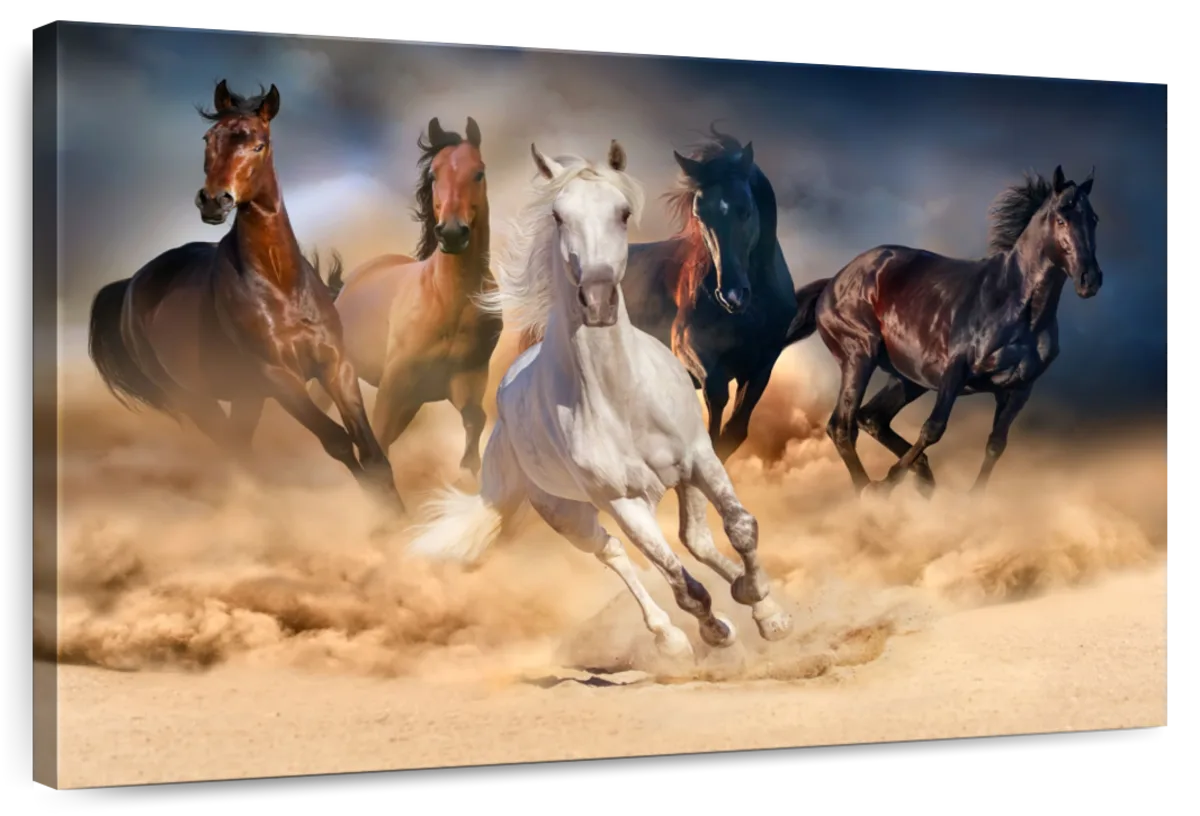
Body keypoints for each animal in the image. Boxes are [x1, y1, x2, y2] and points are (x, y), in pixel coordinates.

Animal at [86, 80, 404, 513]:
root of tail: (131, 283)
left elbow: (371, 452)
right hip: (195, 399)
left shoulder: (335, 365)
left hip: (245, 397)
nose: (213, 200)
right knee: (234, 450)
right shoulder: (278, 377)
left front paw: (399, 517)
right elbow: (337, 441)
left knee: (239, 445)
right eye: (208, 138)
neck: (281, 285)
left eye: (259, 144)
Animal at [309, 117, 501, 478]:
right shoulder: (395, 385)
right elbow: (379, 443)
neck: (448, 301)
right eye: (434, 175)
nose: (452, 233)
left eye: (479, 172)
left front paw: (468, 473)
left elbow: (476, 420)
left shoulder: (465, 380)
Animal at [516, 125, 799, 464]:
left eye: (745, 210)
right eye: (700, 215)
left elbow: (735, 430)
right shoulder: (691, 350)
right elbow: (715, 403)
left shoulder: (762, 366)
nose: (731, 295)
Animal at [785, 165, 1104, 497]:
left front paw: (971, 500)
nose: (1090, 280)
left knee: (871, 418)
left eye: (1094, 218)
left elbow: (996, 445)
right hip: (859, 356)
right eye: (1061, 219)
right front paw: (888, 483)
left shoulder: (1019, 389)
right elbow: (933, 429)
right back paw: (869, 491)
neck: (1017, 308)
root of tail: (833, 282)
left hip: (909, 378)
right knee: (842, 426)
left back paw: (922, 478)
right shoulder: (955, 371)